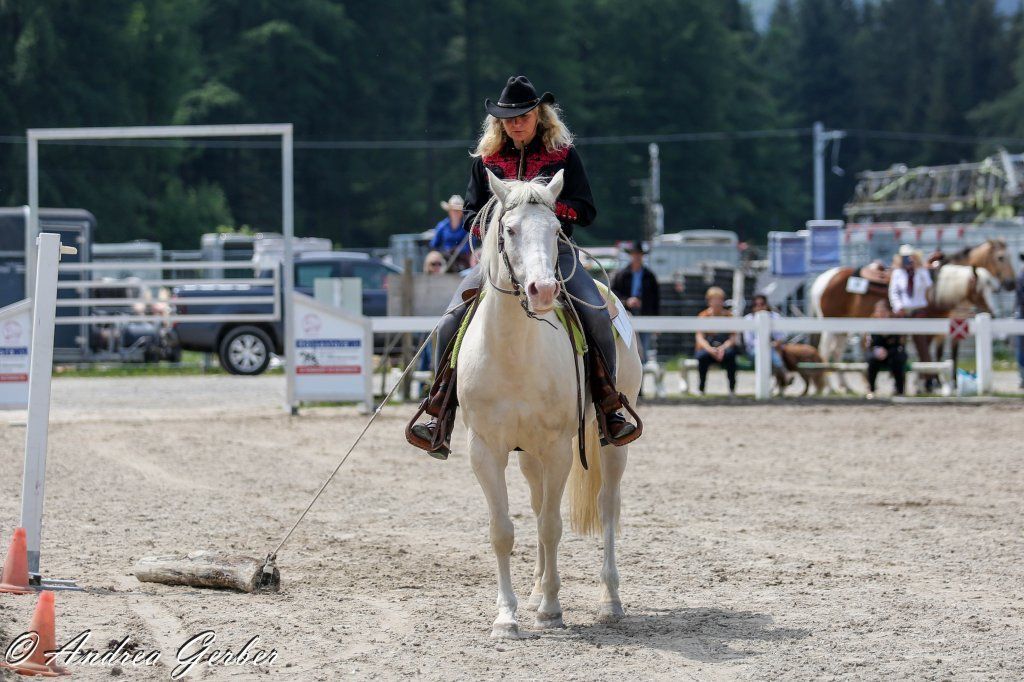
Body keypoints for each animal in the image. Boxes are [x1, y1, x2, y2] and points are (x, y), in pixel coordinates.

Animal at [457, 169, 642, 638]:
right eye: (509, 229)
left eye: (557, 228)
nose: (542, 290)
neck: (514, 354)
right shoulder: (485, 451)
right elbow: (504, 530)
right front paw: (507, 617)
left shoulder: (559, 449)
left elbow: (550, 526)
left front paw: (552, 609)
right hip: (528, 455)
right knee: (540, 499)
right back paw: (538, 589)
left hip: (611, 442)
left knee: (607, 506)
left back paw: (609, 601)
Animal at [810, 239, 1010, 392]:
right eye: (1001, 257)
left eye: (991, 289)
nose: (992, 313)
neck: (935, 291)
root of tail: (823, 278)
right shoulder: (923, 329)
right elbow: (926, 356)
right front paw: (927, 384)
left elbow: (930, 357)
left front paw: (927, 384)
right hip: (831, 324)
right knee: (825, 352)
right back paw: (828, 387)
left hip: (843, 328)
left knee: (836, 352)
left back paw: (845, 386)